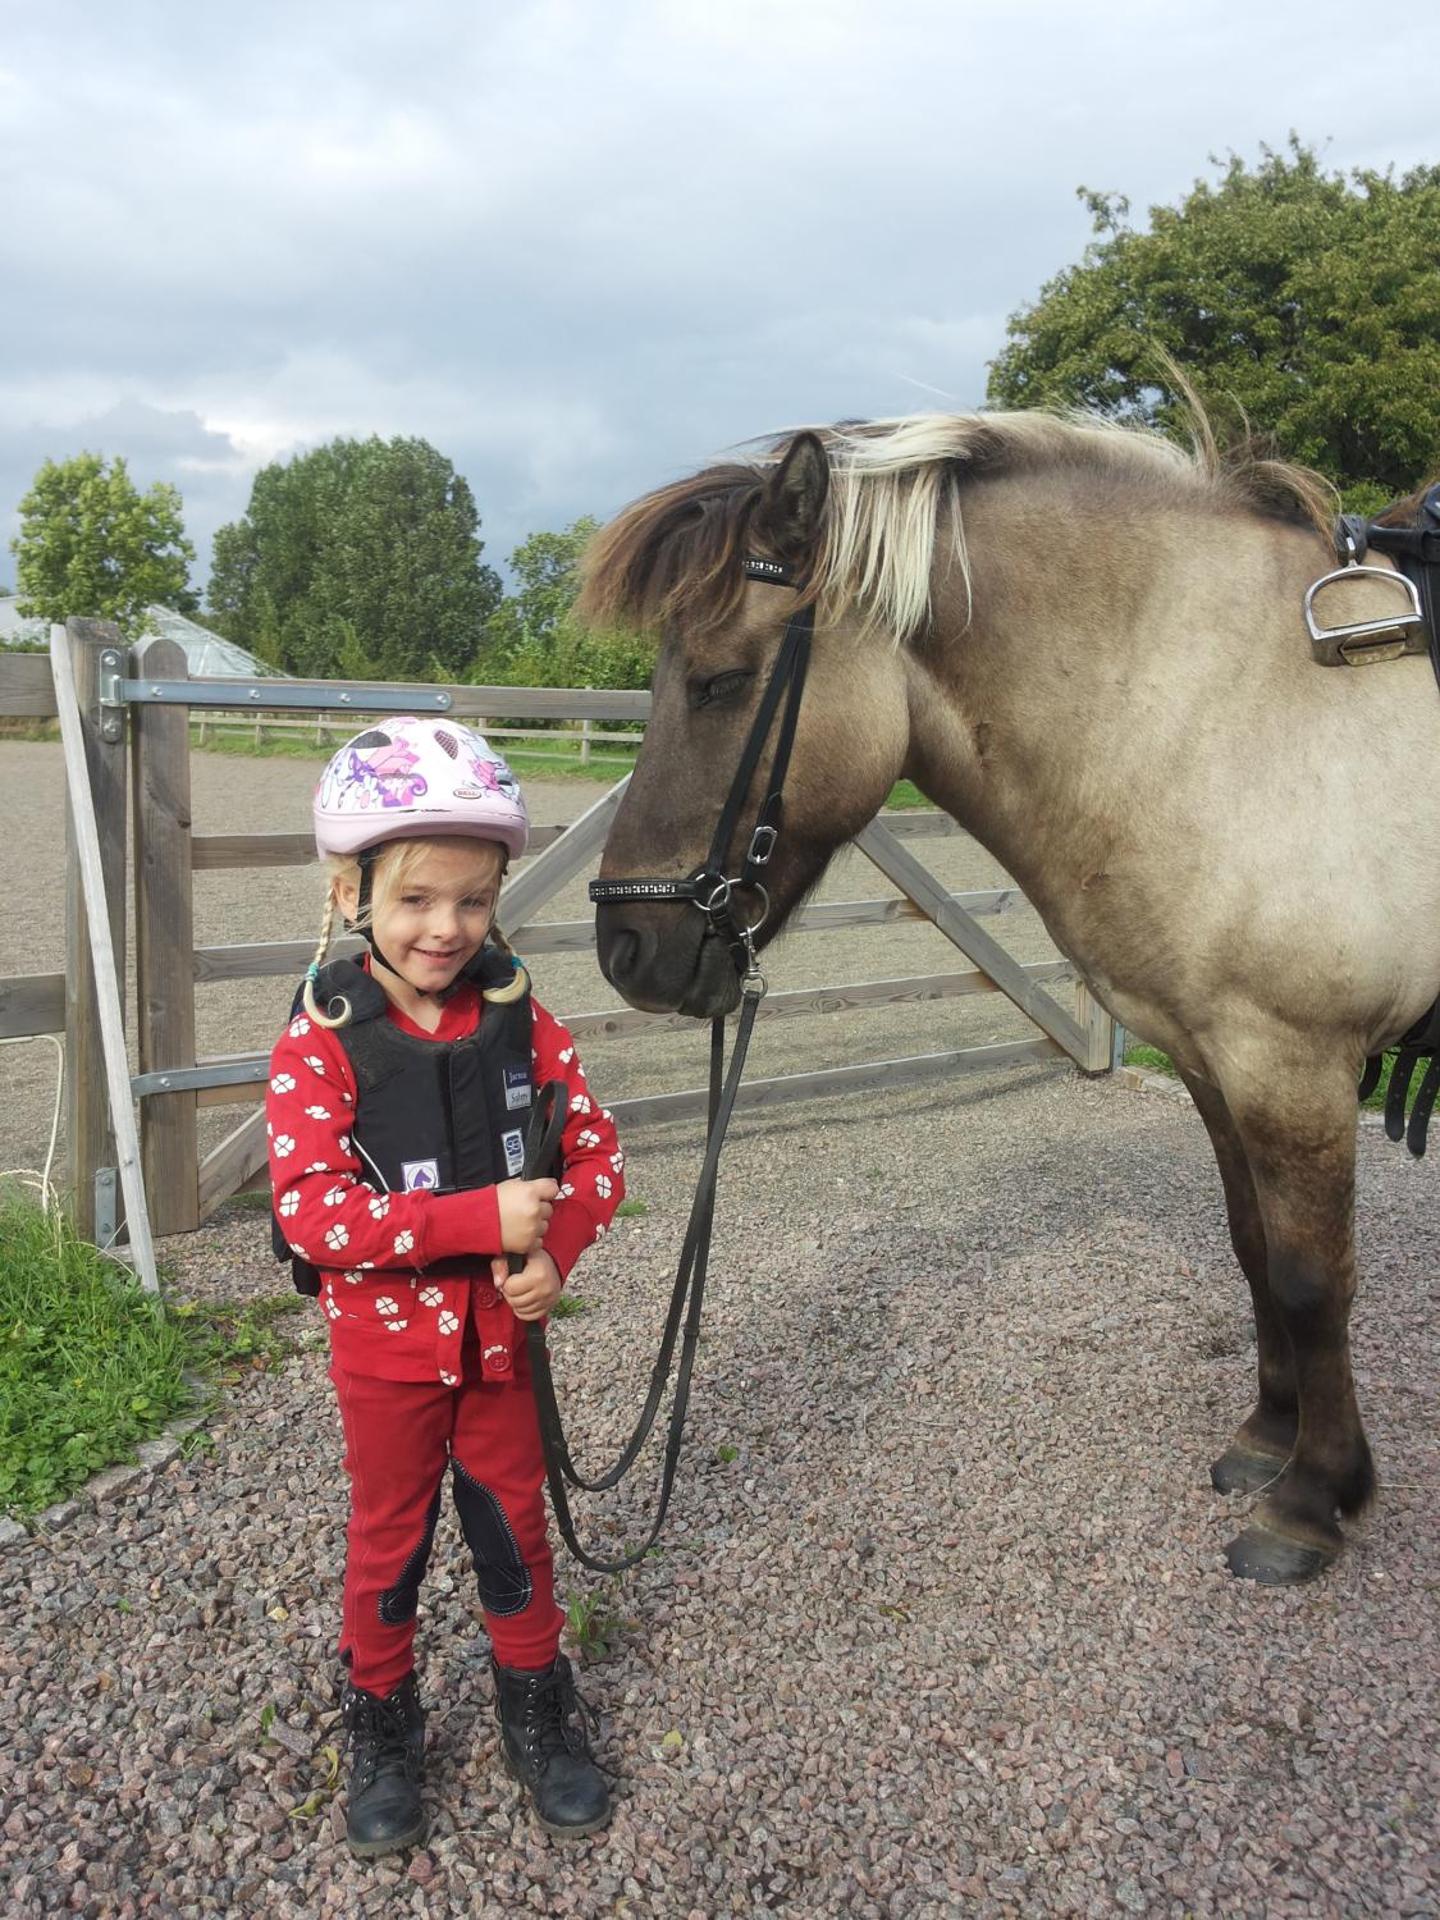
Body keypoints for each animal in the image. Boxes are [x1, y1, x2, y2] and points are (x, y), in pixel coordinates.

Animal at [577, 408, 1440, 1587]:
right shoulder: (1214, 1060)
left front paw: (1312, 1500)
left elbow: (1314, 1280)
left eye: (718, 681)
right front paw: (1267, 1441)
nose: (625, 948)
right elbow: (1253, 1247)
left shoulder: (1293, 1064)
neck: (1233, 712)